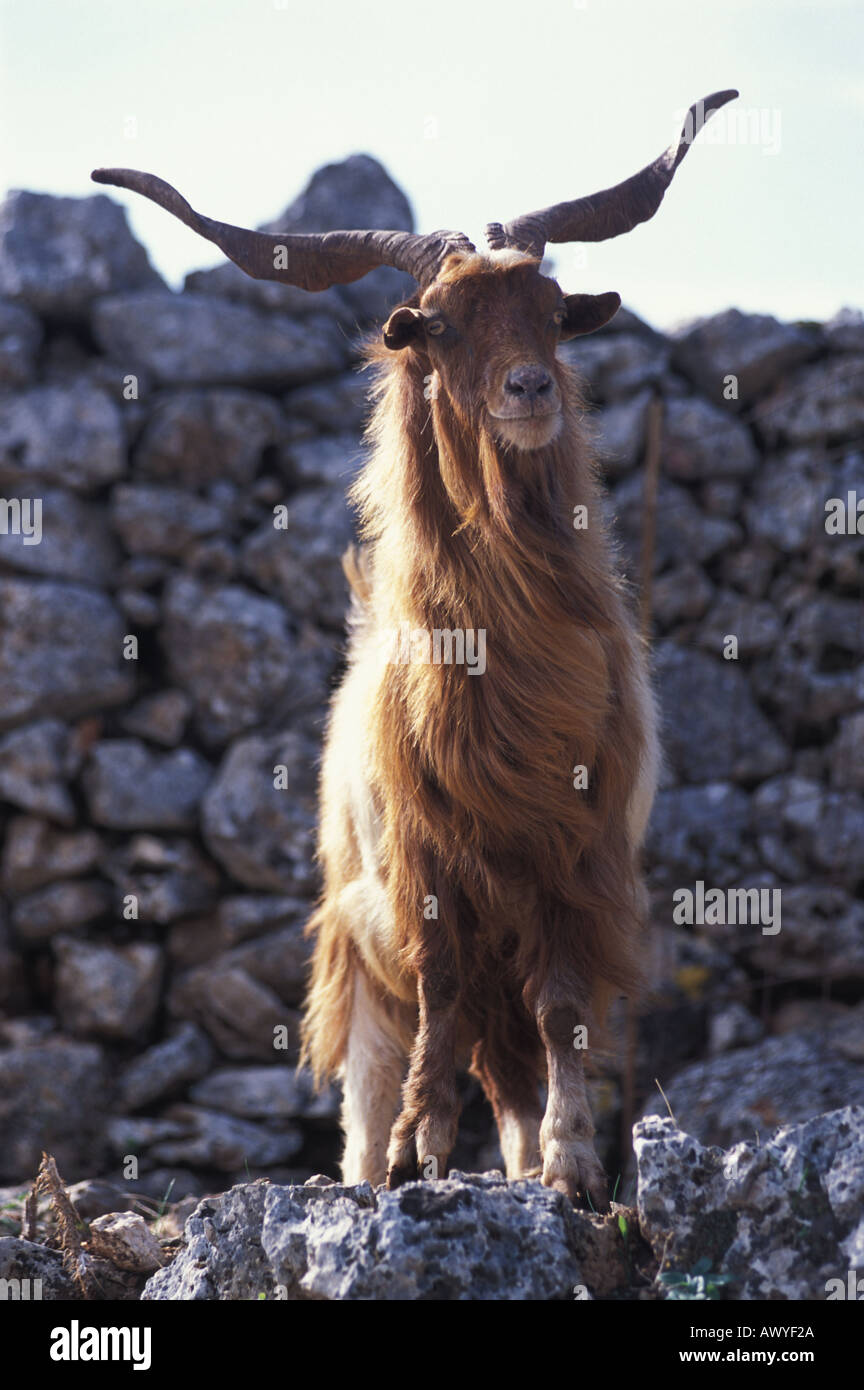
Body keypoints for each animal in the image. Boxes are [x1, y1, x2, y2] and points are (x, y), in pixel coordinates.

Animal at [93, 89, 736, 1206]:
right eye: (436, 325)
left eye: (552, 311)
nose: (530, 390)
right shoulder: (423, 869)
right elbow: (436, 1005)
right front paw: (411, 1156)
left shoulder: (578, 864)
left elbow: (563, 1011)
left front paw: (570, 1168)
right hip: (356, 950)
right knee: (379, 1070)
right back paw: (379, 1161)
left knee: (512, 1065)